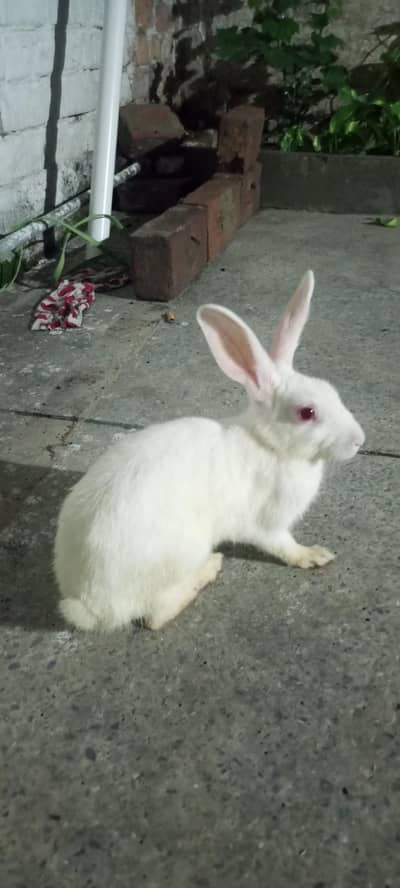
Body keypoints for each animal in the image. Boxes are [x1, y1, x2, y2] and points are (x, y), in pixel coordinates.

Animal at [54, 270, 365, 632]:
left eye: (332, 391)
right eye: (307, 412)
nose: (359, 440)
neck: (270, 445)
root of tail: (89, 604)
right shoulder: (267, 525)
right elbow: (284, 546)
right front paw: (314, 555)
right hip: (183, 552)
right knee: (156, 616)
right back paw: (209, 569)